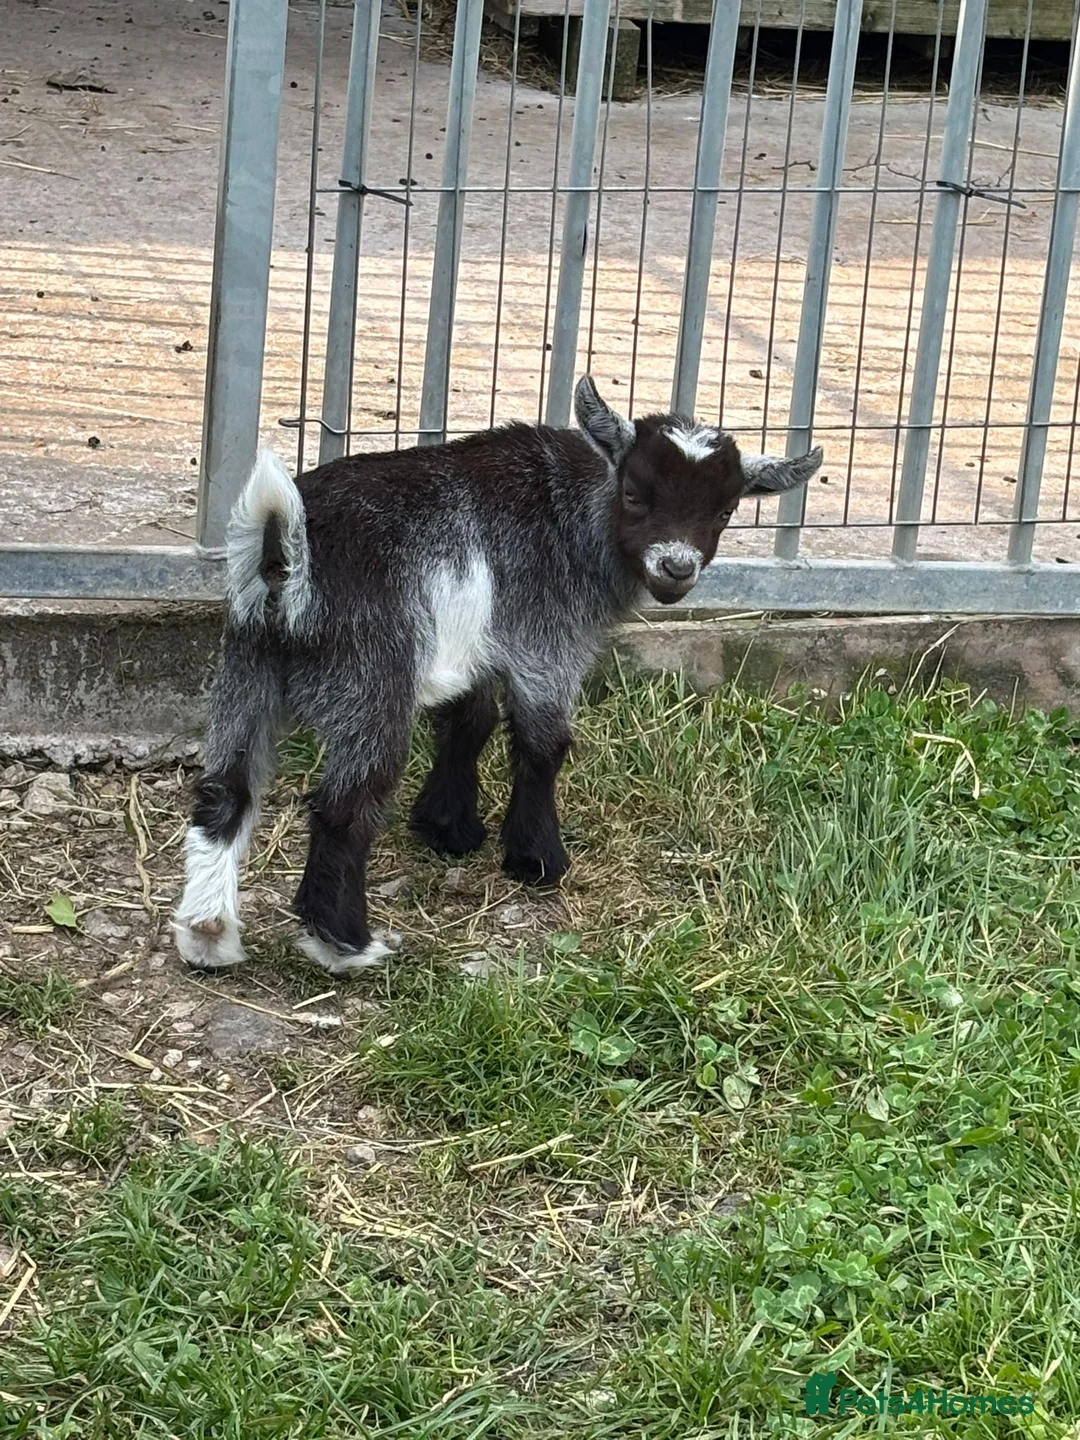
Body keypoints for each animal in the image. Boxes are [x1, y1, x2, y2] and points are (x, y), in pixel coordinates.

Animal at [172, 375, 821, 976]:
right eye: (636, 493)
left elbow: (470, 720)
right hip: (370, 680)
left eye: (725, 510)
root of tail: (286, 558)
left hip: (248, 666)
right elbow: (543, 743)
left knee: (226, 789)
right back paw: (346, 946)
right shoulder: (546, 643)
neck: (570, 511)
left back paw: (208, 936)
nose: (676, 568)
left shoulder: (483, 644)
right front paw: (537, 859)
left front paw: (448, 827)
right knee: (344, 809)